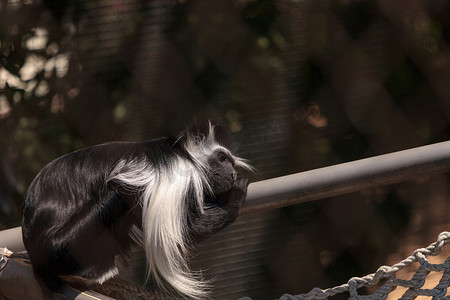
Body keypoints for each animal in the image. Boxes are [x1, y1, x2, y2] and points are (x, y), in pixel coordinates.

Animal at [22, 121, 253, 298]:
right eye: (222, 159)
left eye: (231, 163)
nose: (232, 173)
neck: (186, 155)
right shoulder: (177, 174)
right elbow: (186, 231)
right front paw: (234, 198)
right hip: (63, 245)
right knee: (118, 191)